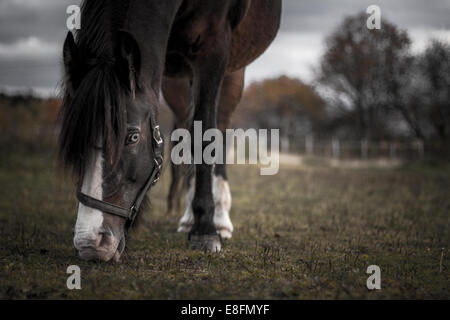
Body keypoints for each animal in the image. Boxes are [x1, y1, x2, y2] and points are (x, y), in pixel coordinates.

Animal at [58, 0, 280, 262]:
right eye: (77, 140)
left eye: (133, 137)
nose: (90, 243)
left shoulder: (213, 49)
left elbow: (205, 136)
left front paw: (206, 231)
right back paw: (190, 218)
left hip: (232, 71)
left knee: (220, 129)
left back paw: (220, 219)